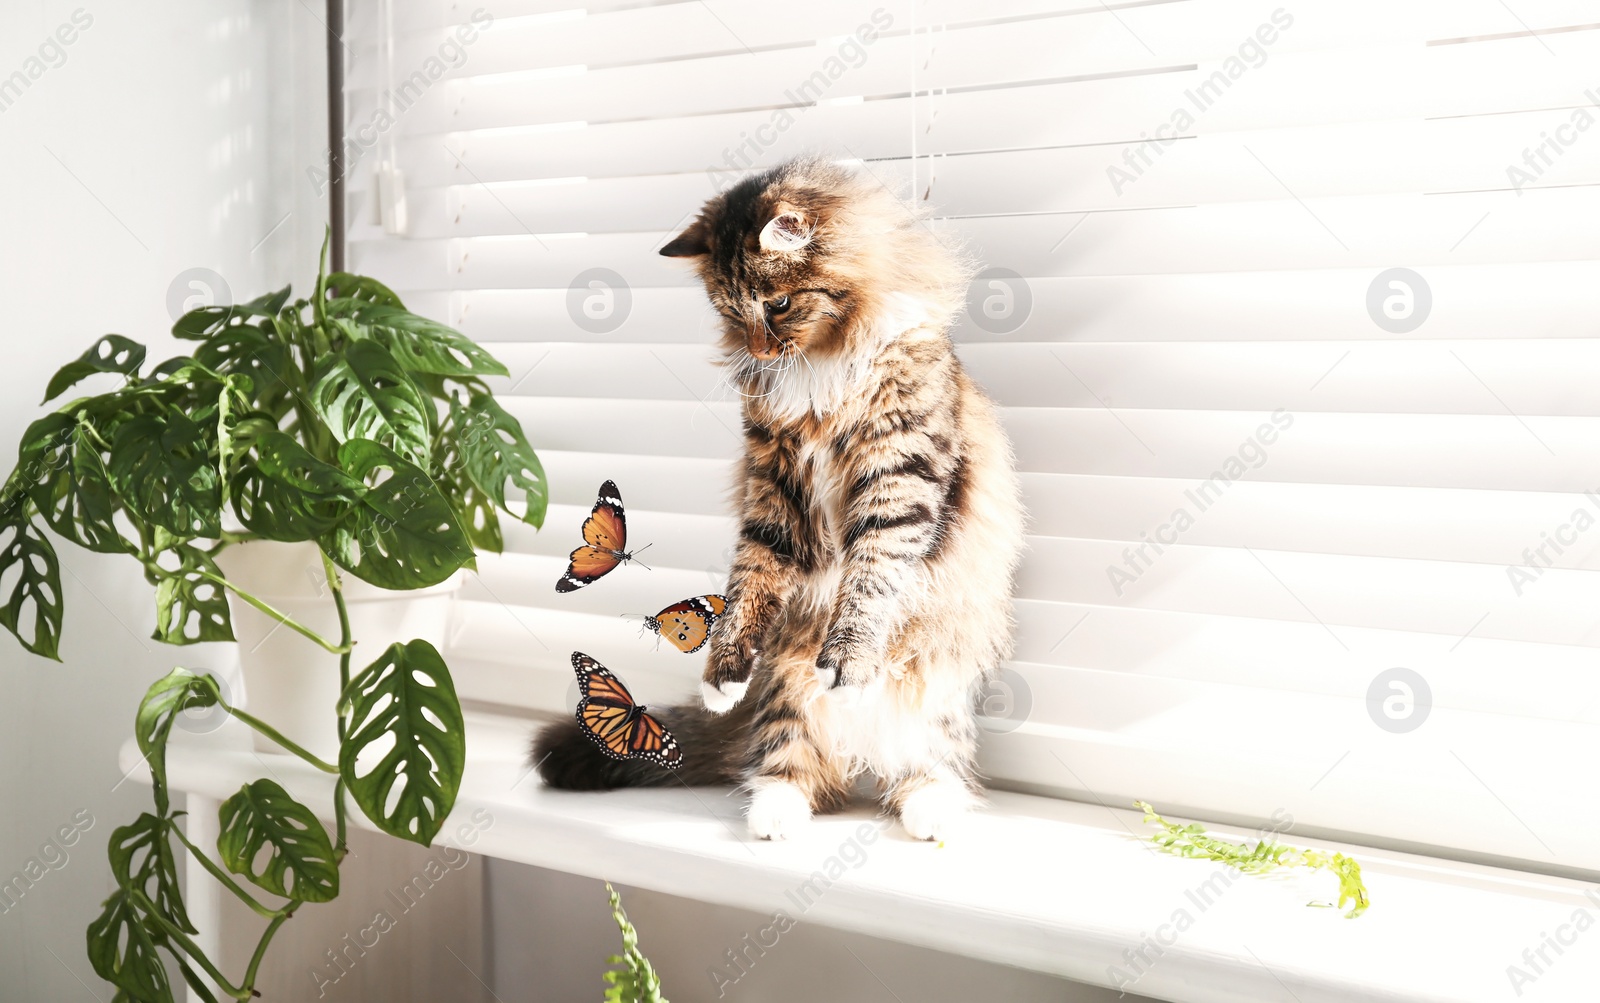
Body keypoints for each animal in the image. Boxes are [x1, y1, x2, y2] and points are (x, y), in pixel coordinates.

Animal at [531, 156, 1017, 844]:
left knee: (924, 765)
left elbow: (869, 582)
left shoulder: (898, 477)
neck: (822, 367)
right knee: (787, 759)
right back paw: (775, 814)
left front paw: (846, 665)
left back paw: (930, 810)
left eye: (778, 304)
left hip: (937, 694)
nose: (759, 349)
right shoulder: (774, 490)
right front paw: (722, 675)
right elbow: (749, 582)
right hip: (785, 682)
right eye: (733, 312)